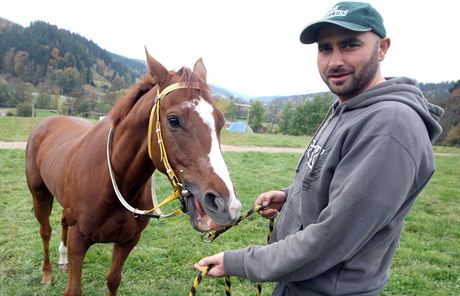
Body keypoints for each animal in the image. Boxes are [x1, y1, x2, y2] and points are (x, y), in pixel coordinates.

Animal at [24, 49, 241, 294]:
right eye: (173, 120)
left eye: (221, 122)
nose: (226, 204)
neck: (112, 183)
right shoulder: (78, 241)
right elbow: (74, 289)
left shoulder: (128, 241)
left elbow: (113, 280)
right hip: (39, 194)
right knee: (45, 231)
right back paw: (47, 273)